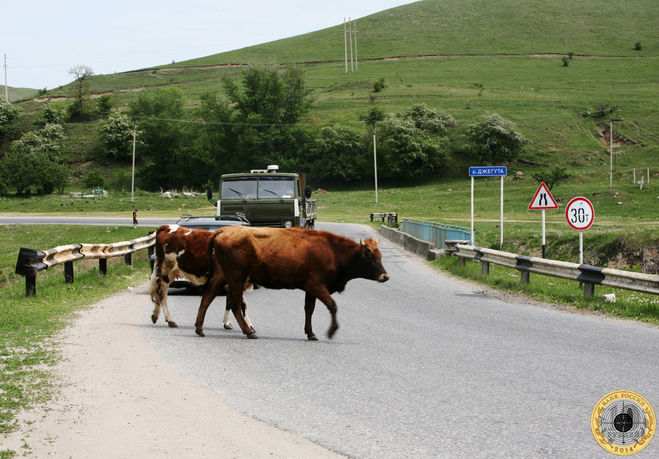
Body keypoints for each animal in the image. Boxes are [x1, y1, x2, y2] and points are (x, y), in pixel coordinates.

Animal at [196, 226, 392, 338]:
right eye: (369, 256)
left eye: (380, 256)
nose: (385, 276)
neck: (332, 251)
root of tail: (223, 230)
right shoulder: (316, 286)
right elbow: (332, 305)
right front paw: (331, 331)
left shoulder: (310, 289)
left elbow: (309, 310)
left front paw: (310, 333)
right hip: (237, 277)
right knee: (235, 303)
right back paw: (249, 332)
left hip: (222, 276)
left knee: (207, 298)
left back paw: (199, 329)